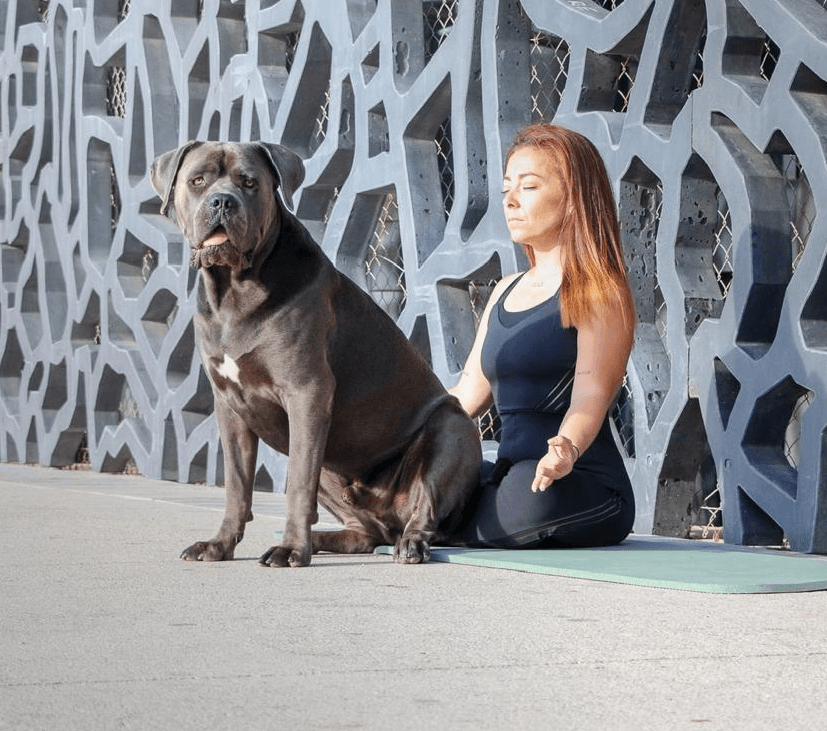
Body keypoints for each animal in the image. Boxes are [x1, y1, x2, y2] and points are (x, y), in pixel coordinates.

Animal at [150, 141, 481, 567]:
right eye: (198, 180)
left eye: (249, 182)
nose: (222, 201)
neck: (234, 291)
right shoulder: (230, 407)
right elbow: (237, 485)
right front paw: (219, 545)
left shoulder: (306, 392)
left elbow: (296, 487)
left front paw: (292, 549)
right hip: (333, 469)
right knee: (364, 534)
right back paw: (323, 538)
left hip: (451, 429)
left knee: (422, 507)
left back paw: (407, 543)